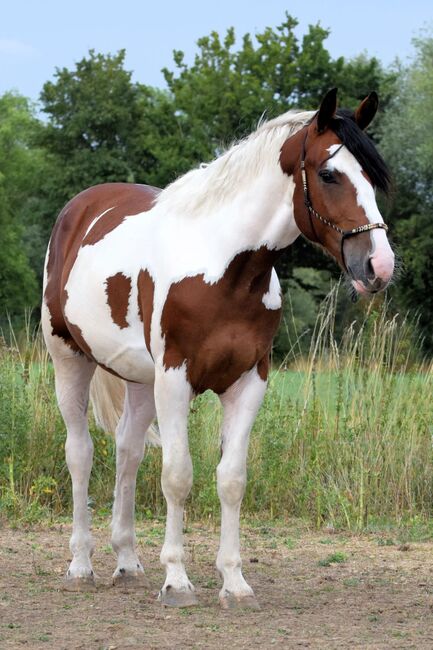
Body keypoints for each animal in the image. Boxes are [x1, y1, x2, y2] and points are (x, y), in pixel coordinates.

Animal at [42, 87, 394, 608]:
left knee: (128, 451)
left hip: (141, 382)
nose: (378, 266)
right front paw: (177, 580)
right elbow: (177, 475)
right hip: (70, 359)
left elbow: (231, 479)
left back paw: (126, 562)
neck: (224, 267)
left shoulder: (249, 382)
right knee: (80, 452)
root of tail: (79, 210)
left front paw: (235, 582)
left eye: (372, 176)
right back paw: (81, 564)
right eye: (330, 174)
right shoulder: (175, 379)